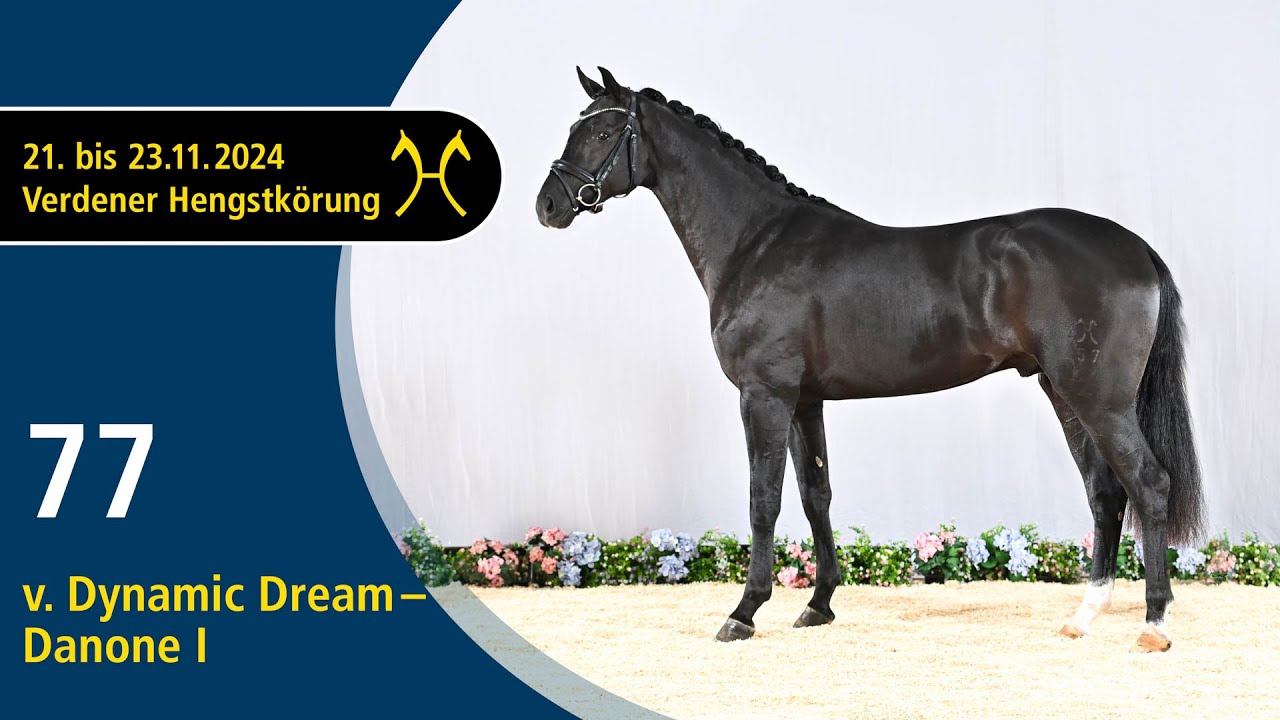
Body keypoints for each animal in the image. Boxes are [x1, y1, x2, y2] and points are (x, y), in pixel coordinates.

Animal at [537, 67, 1204, 652]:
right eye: (577, 126)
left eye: (603, 131)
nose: (548, 205)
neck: (758, 242)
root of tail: (1136, 247)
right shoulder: (804, 401)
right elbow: (816, 495)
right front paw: (819, 604)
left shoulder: (764, 396)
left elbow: (763, 500)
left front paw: (744, 613)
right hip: (1065, 393)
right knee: (1105, 492)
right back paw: (1083, 617)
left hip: (1099, 399)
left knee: (1147, 483)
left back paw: (1154, 623)